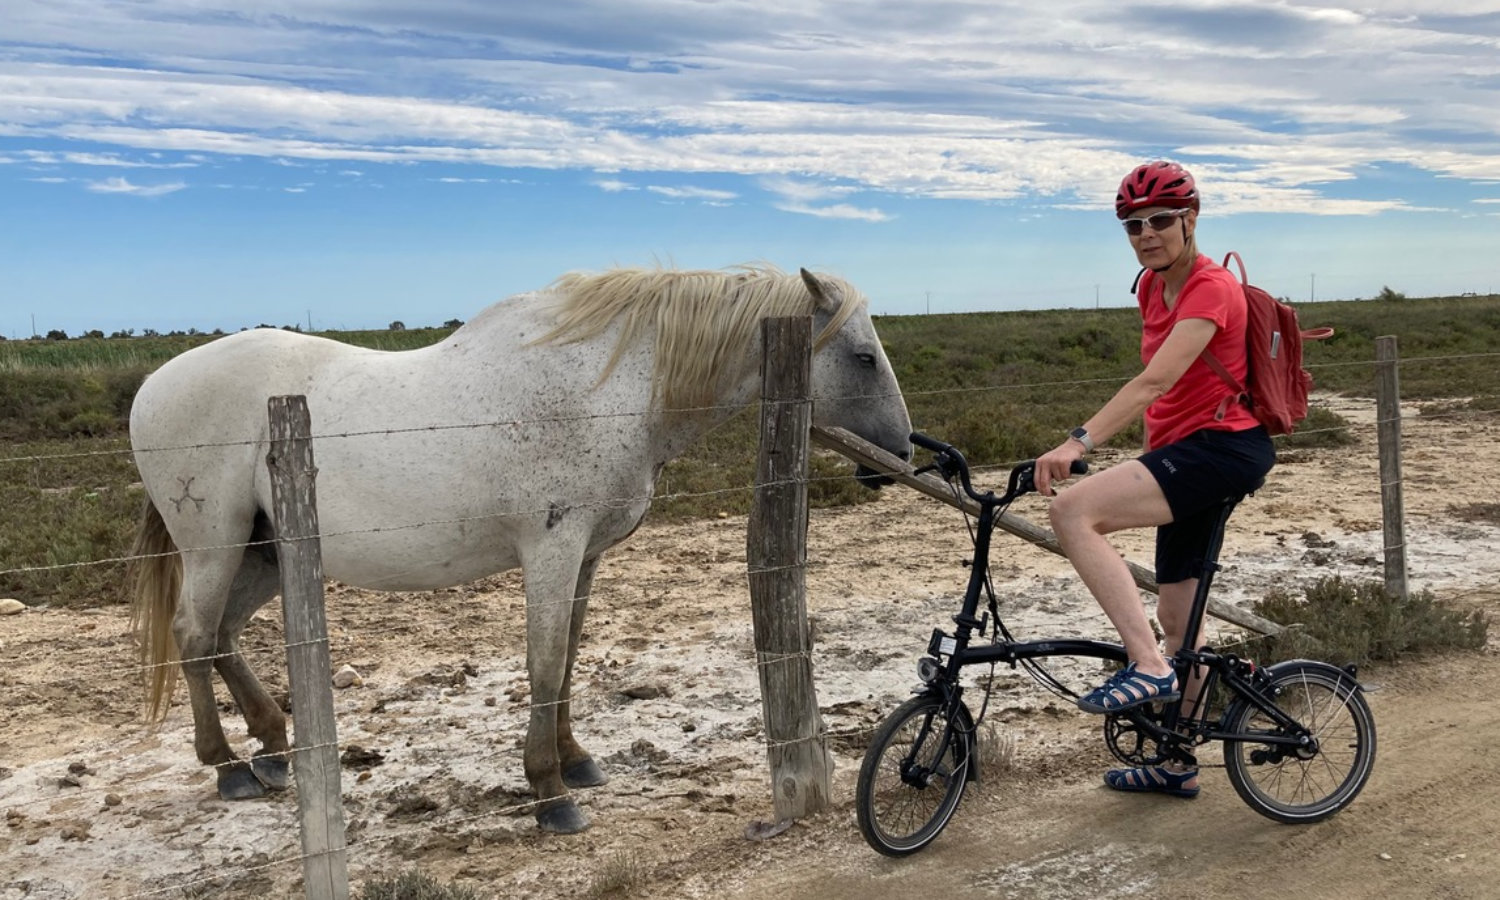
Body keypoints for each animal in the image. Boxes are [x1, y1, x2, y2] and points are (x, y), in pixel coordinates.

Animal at [129, 264, 906, 834]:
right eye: (864, 356)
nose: (898, 455)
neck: (606, 384)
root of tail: (151, 385)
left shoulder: (586, 555)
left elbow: (567, 659)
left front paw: (575, 759)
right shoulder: (552, 550)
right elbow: (544, 663)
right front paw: (550, 793)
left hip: (261, 554)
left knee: (222, 637)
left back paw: (270, 746)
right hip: (216, 546)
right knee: (194, 636)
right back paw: (228, 766)